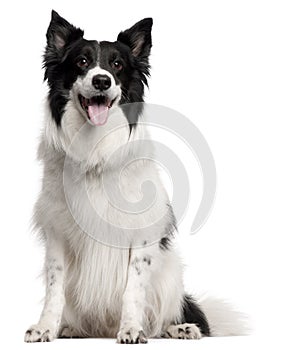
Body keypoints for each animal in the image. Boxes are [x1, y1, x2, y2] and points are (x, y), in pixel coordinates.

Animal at [24, 9, 243, 344]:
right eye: (82, 61)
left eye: (117, 65)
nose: (102, 81)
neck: (96, 149)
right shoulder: (57, 232)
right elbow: (54, 287)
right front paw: (46, 327)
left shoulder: (140, 236)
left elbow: (133, 290)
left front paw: (130, 329)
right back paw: (69, 328)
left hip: (170, 271)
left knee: (167, 316)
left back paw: (181, 328)